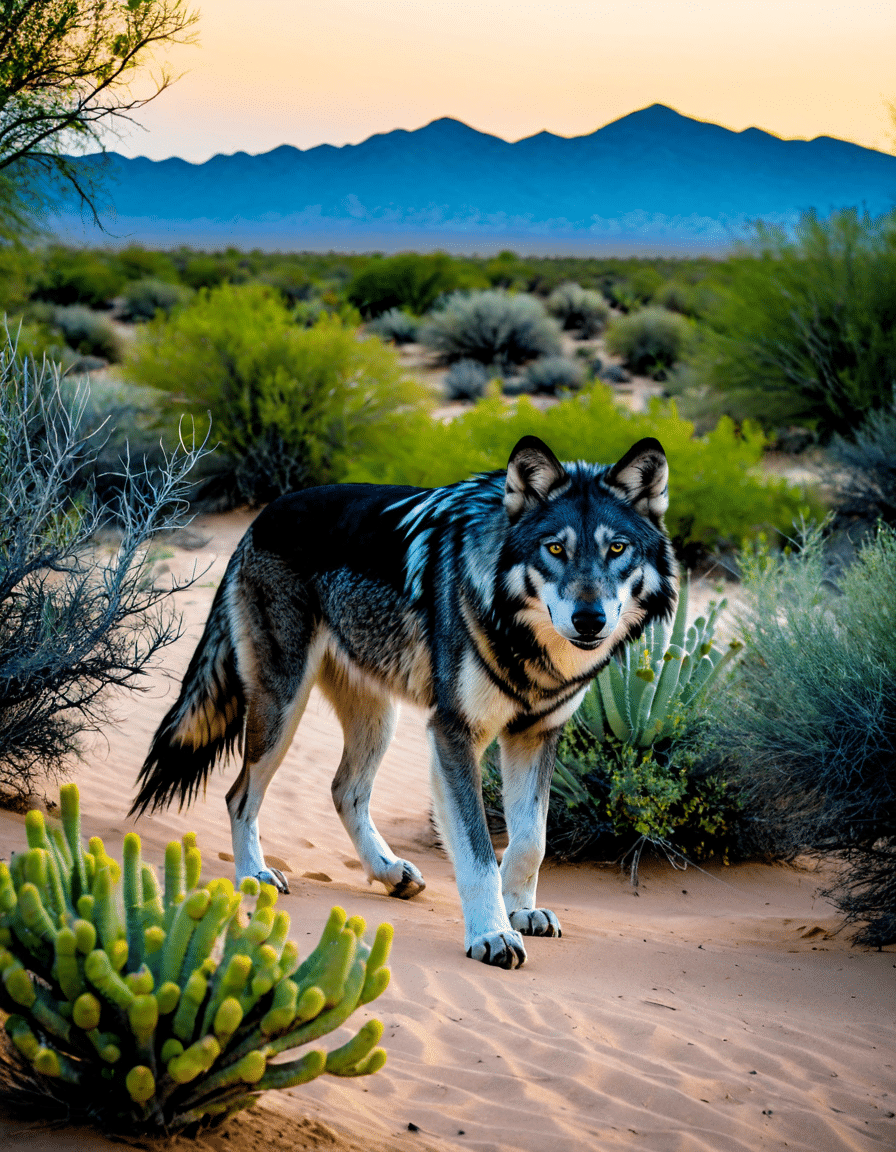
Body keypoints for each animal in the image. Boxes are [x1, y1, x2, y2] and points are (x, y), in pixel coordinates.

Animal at [131, 435, 677, 968]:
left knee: (344, 790)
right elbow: (478, 853)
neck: (521, 638)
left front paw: (520, 910)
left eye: (617, 548)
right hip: (282, 710)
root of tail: (260, 519)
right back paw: (254, 876)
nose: (590, 619)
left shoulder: (535, 735)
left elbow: (529, 841)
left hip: (379, 721)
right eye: (556, 548)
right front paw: (492, 934)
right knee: (240, 795)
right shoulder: (455, 733)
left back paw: (388, 871)